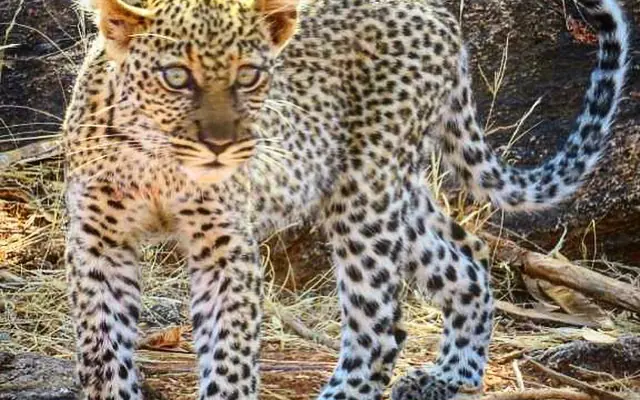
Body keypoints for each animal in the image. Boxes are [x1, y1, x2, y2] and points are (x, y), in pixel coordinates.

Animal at [62, 0, 629, 399]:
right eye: (176, 76)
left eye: (250, 75)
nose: (222, 144)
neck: (158, 163)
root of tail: (441, 15)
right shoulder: (98, 244)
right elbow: (102, 351)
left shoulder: (225, 249)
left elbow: (228, 357)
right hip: (392, 192)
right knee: (467, 255)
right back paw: (451, 376)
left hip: (365, 193)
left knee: (381, 326)